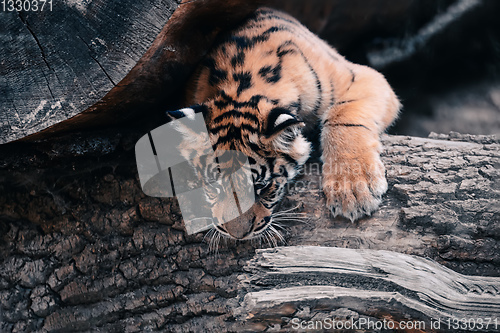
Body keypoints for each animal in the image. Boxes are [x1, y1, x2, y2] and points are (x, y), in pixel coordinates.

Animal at [166, 7, 400, 240]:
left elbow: (343, 117)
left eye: (261, 188)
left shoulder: (363, 76)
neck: (241, 87)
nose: (238, 235)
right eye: (214, 187)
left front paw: (353, 191)